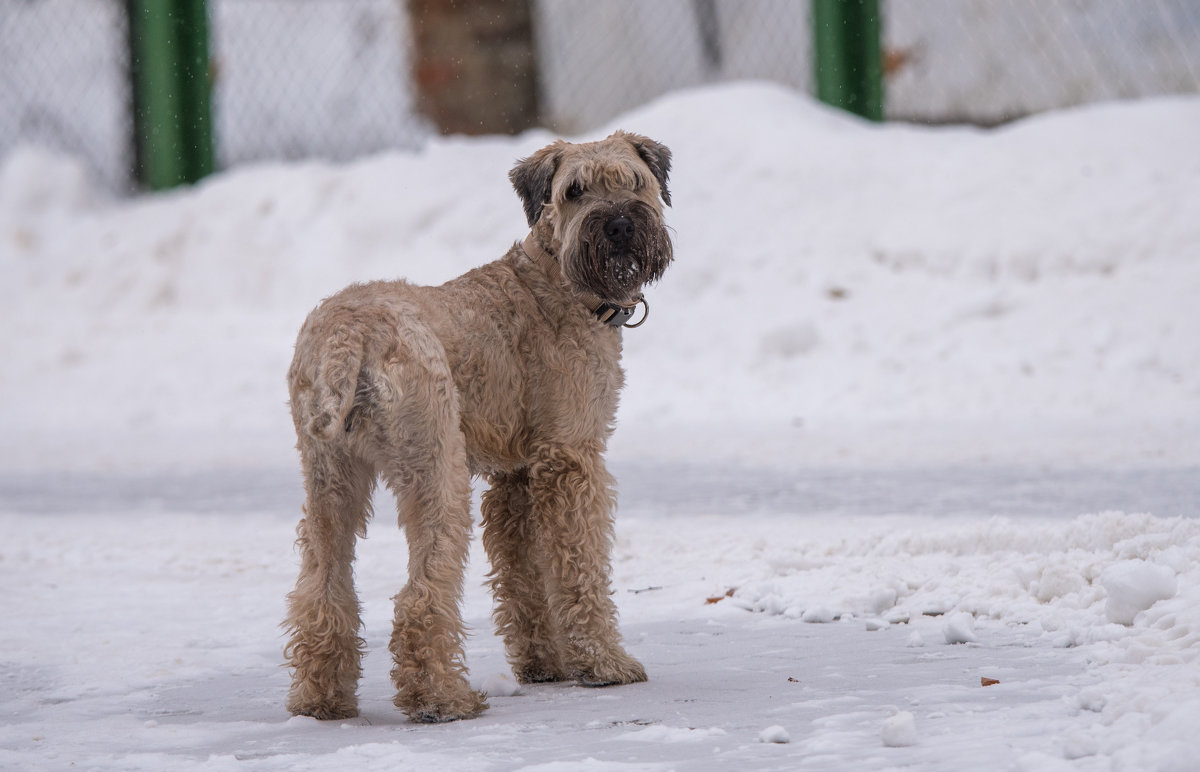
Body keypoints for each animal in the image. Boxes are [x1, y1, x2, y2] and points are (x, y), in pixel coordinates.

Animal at [283, 131, 676, 725]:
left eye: (635, 182)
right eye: (574, 190)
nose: (619, 226)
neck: (557, 279)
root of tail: (349, 331)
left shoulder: (515, 477)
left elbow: (523, 576)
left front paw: (545, 664)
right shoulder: (571, 458)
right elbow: (579, 566)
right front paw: (603, 663)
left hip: (330, 480)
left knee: (322, 588)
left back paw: (321, 700)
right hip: (434, 470)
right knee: (421, 594)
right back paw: (443, 700)